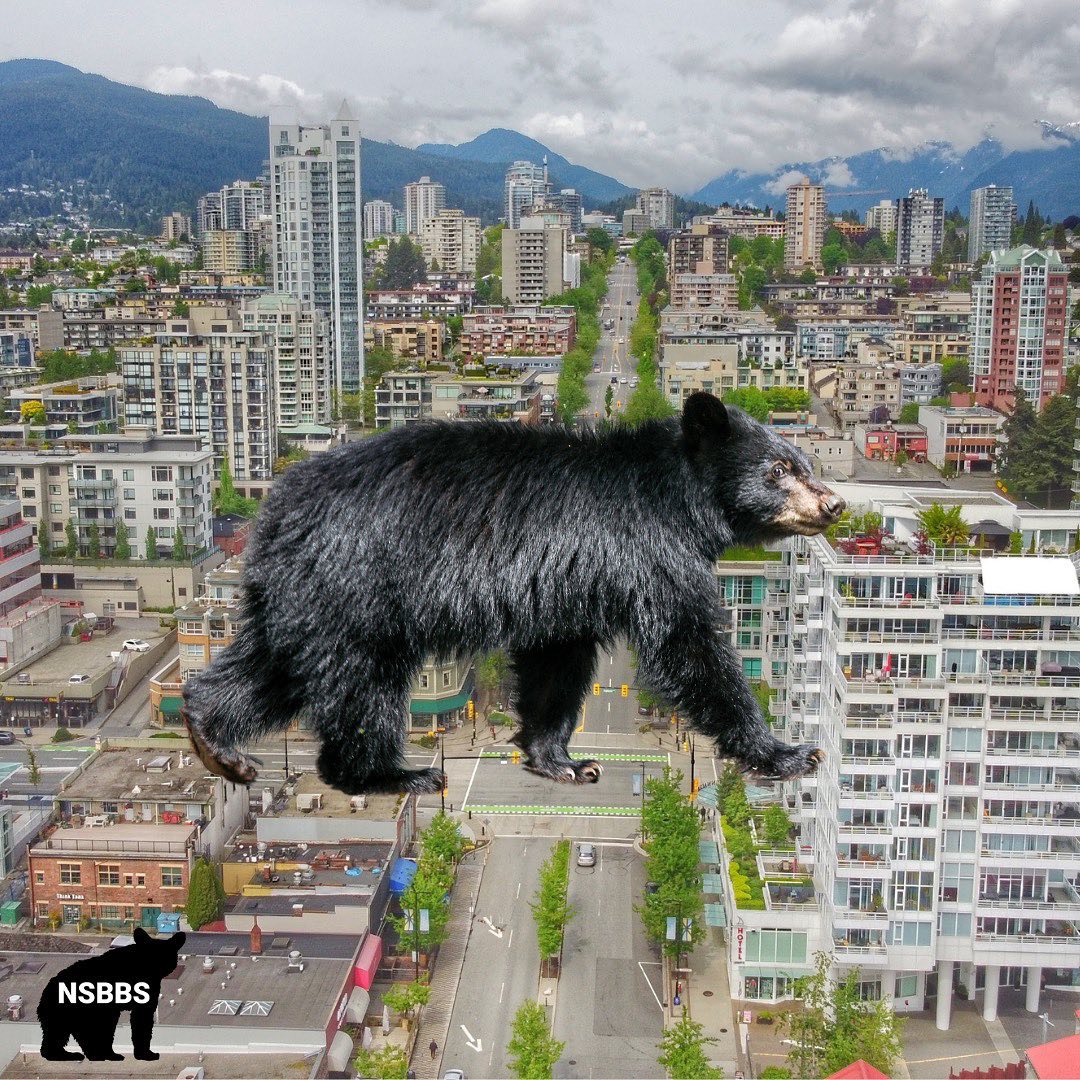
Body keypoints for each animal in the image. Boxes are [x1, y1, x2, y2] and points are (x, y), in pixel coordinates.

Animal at [183, 391, 844, 795]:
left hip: (303, 597)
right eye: (780, 470)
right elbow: (690, 647)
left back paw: (214, 738)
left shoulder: (570, 587)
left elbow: (558, 664)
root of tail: (272, 511)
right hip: (358, 584)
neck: (676, 495)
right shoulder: (649, 552)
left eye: (807, 462)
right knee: (360, 684)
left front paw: (564, 760)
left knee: (272, 667)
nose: (835, 504)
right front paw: (786, 753)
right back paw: (392, 774)